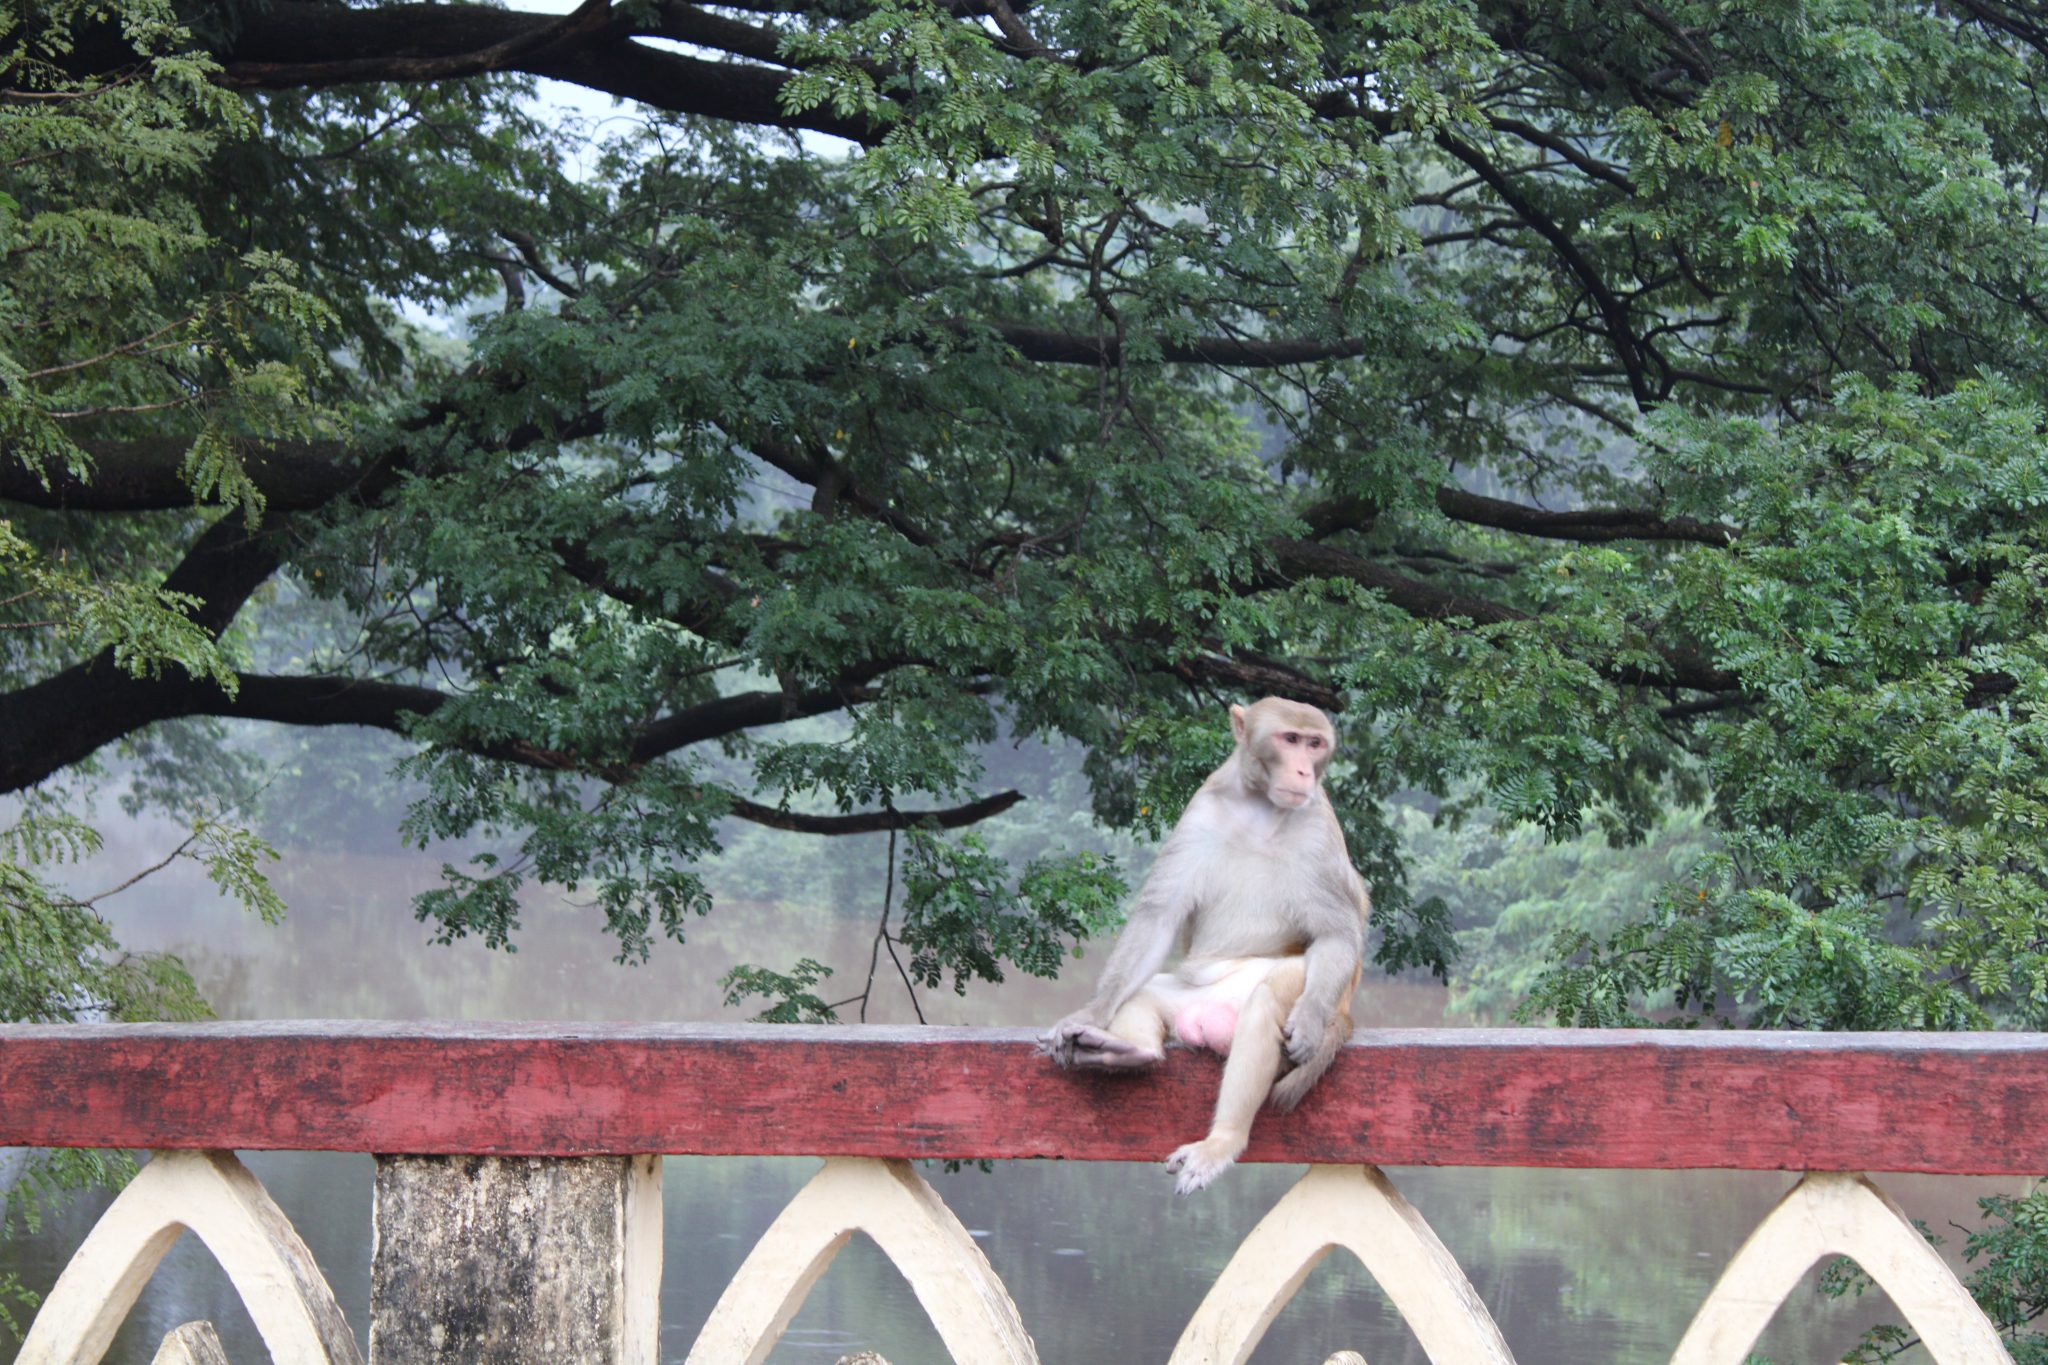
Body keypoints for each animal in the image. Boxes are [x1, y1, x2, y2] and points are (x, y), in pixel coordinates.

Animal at [1042, 697, 1369, 1194]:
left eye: (1315, 744)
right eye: (1290, 739)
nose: (1302, 771)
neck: (1261, 808)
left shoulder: (1317, 829)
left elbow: (1337, 934)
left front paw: (1310, 1021)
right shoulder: (1201, 812)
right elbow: (1158, 919)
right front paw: (1091, 1014)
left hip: (1300, 991)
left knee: (1268, 1000)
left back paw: (1223, 1140)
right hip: (1194, 995)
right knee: (1146, 992)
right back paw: (1128, 1049)